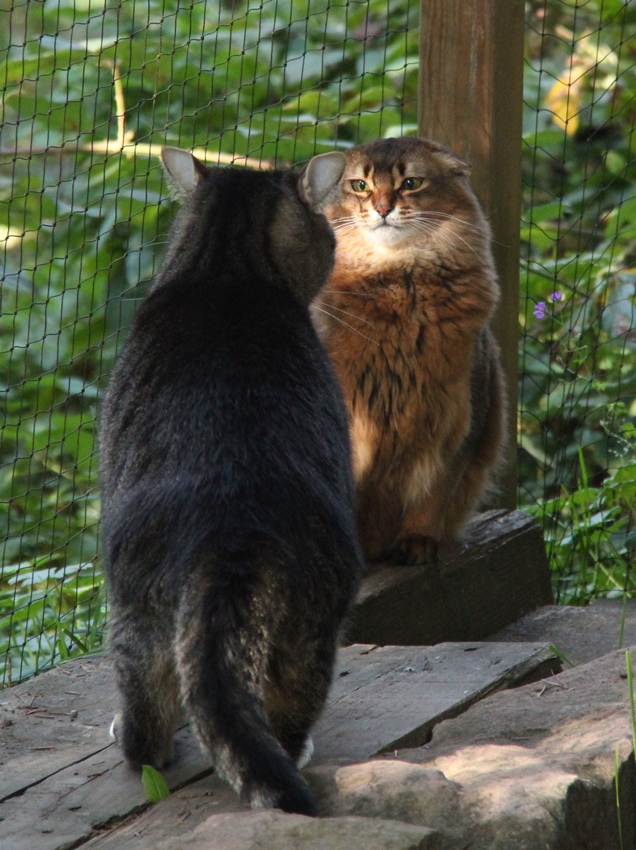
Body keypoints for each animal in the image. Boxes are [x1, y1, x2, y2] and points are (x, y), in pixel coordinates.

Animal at [97, 147, 360, 816]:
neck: (224, 269)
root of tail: (232, 521)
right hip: (311, 624)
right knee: (279, 709)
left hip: (137, 610)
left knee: (151, 726)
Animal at [314, 137, 506, 564]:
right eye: (360, 186)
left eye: (411, 183)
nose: (383, 208)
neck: (398, 280)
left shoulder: (459, 418)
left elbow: (434, 494)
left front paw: (418, 541)